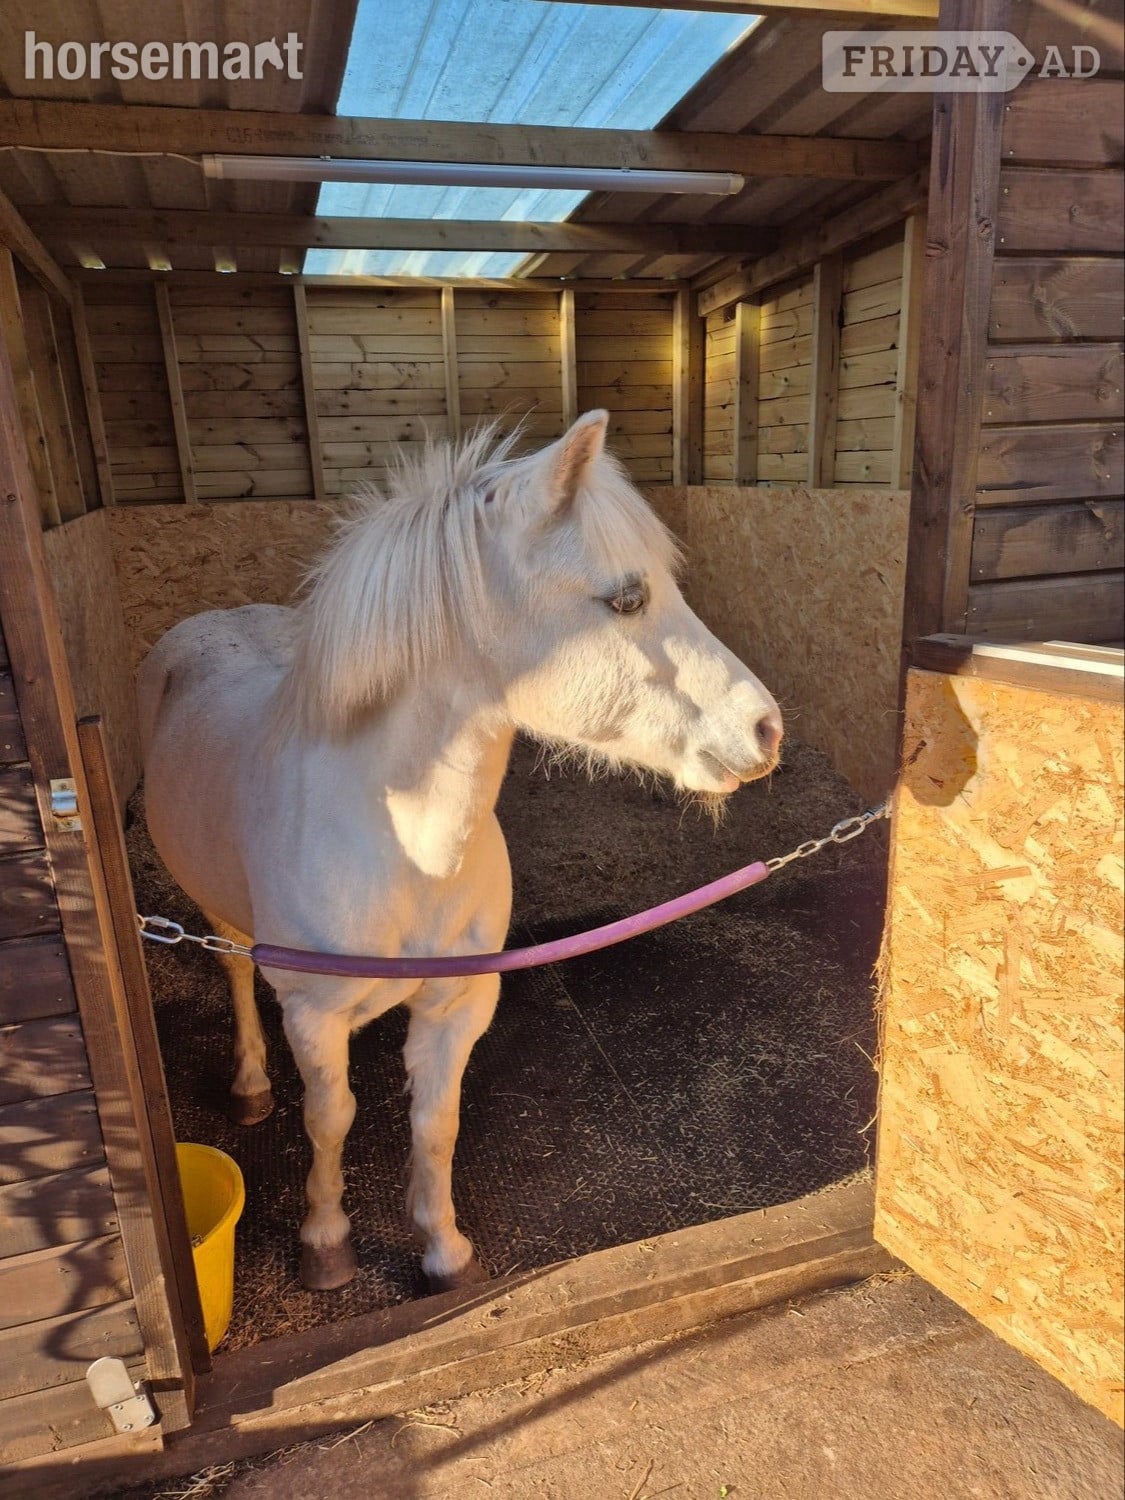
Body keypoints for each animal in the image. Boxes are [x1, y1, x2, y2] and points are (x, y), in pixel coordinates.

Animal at [138, 411, 782, 1294]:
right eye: (626, 597)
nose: (766, 728)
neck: (404, 845)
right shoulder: (313, 1015)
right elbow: (330, 1118)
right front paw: (325, 1243)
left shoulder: (459, 1006)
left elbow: (434, 1121)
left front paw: (442, 1248)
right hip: (220, 918)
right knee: (236, 976)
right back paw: (250, 1085)